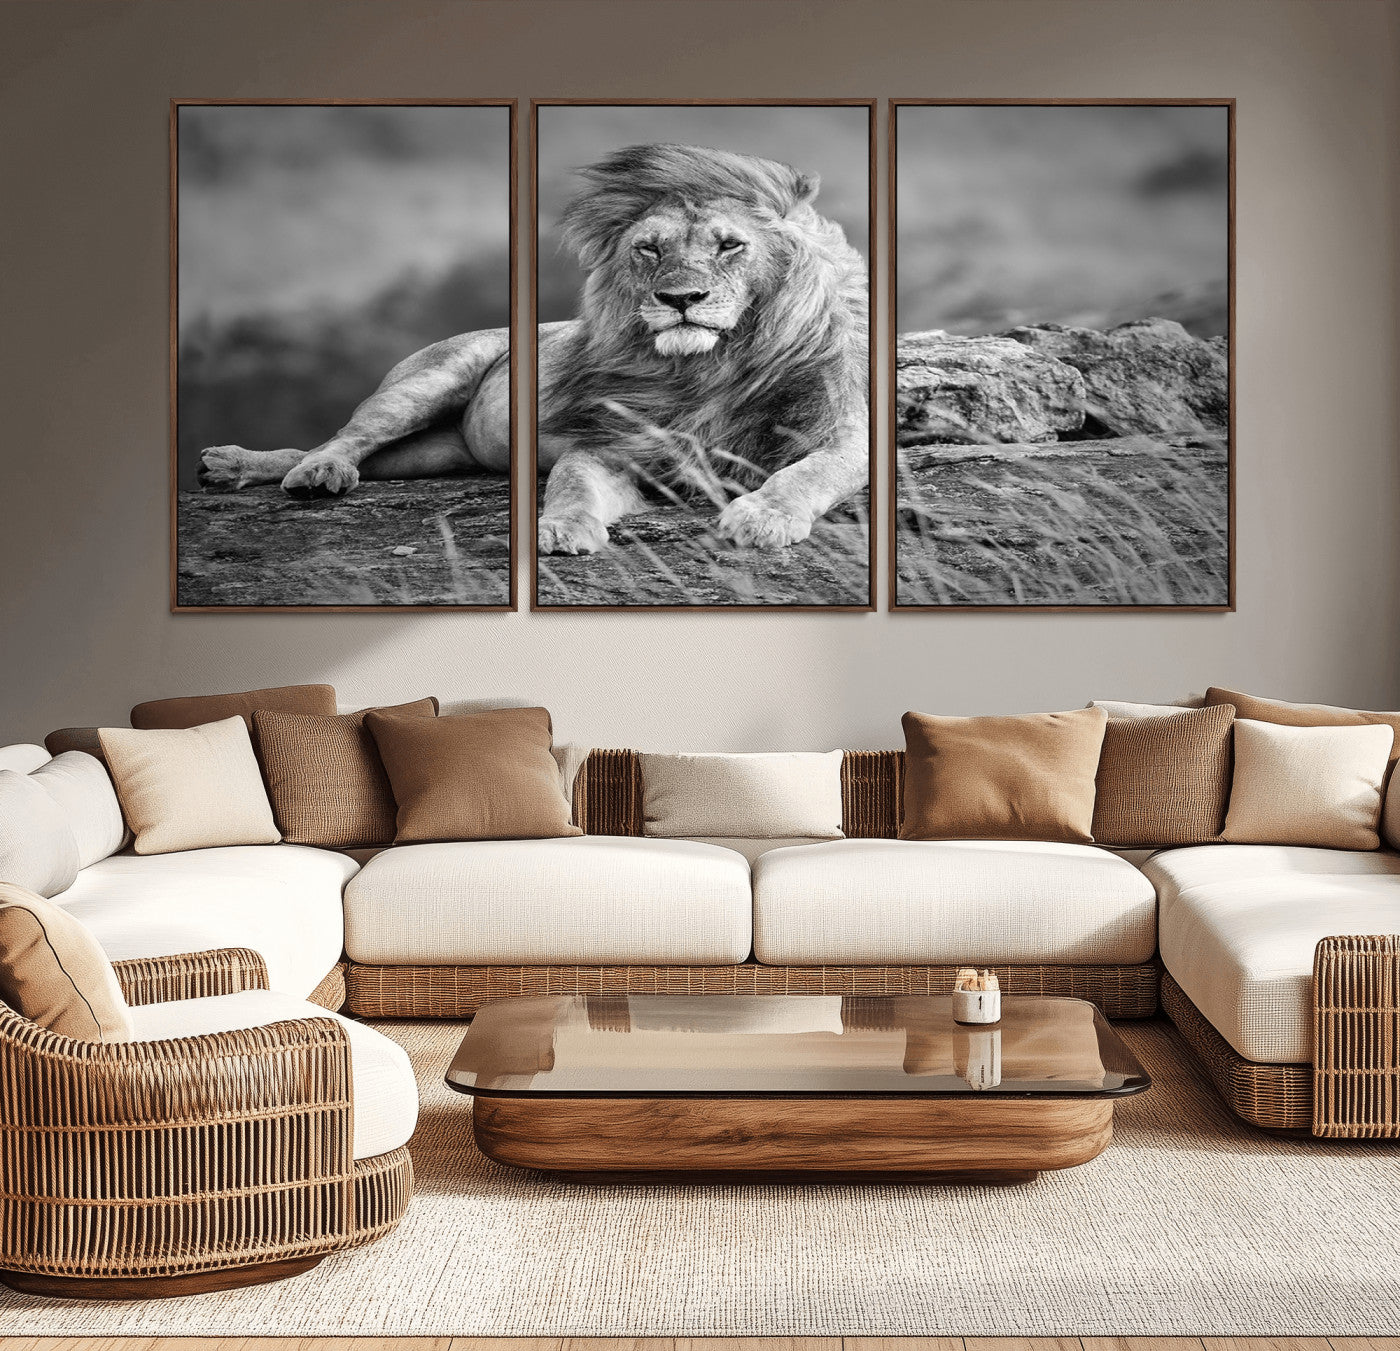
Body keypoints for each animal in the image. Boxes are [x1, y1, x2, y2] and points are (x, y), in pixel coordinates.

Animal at [199, 142, 869, 553]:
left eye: (731, 245)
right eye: (649, 249)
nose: (681, 297)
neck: (710, 367)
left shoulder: (845, 434)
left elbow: (808, 471)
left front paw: (761, 517)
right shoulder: (613, 445)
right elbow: (571, 482)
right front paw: (560, 530)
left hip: (433, 454)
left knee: (339, 451)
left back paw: (238, 466)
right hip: (425, 384)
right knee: (341, 438)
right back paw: (299, 471)